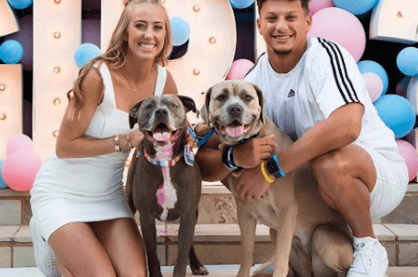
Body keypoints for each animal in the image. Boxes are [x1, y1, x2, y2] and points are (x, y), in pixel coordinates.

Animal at [125, 94, 208, 276]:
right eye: (149, 106)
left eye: (174, 105)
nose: (161, 112)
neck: (164, 160)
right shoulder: (146, 217)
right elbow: (152, 254)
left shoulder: (188, 214)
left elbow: (182, 254)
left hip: (194, 213)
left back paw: (197, 264)